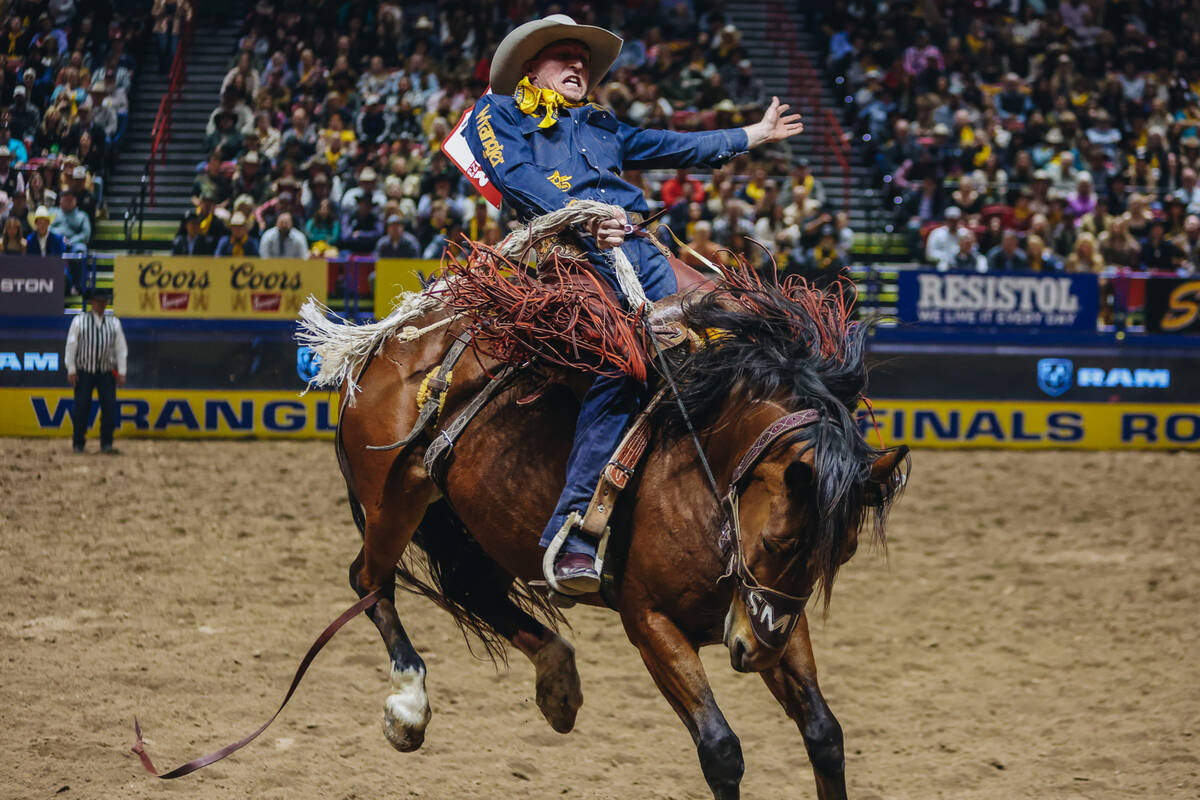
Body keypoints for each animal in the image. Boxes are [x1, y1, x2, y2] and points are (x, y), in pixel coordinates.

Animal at [300, 260, 907, 796]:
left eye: (841, 554)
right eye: (778, 541)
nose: (754, 654)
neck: (697, 473)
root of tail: (390, 339)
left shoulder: (770, 614)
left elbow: (824, 734)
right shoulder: (650, 622)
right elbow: (720, 750)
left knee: (476, 591)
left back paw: (558, 684)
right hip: (393, 502)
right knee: (369, 580)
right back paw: (409, 706)